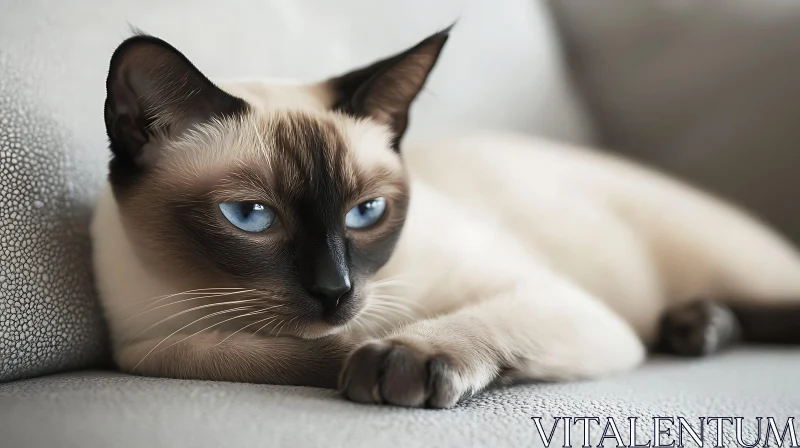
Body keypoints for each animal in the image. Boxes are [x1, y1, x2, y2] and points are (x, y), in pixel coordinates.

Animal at [90, 27, 800, 406]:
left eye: (366, 212)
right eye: (250, 216)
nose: (335, 291)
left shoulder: (558, 304)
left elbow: (452, 324)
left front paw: (392, 357)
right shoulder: (149, 347)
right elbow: (247, 354)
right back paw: (697, 328)